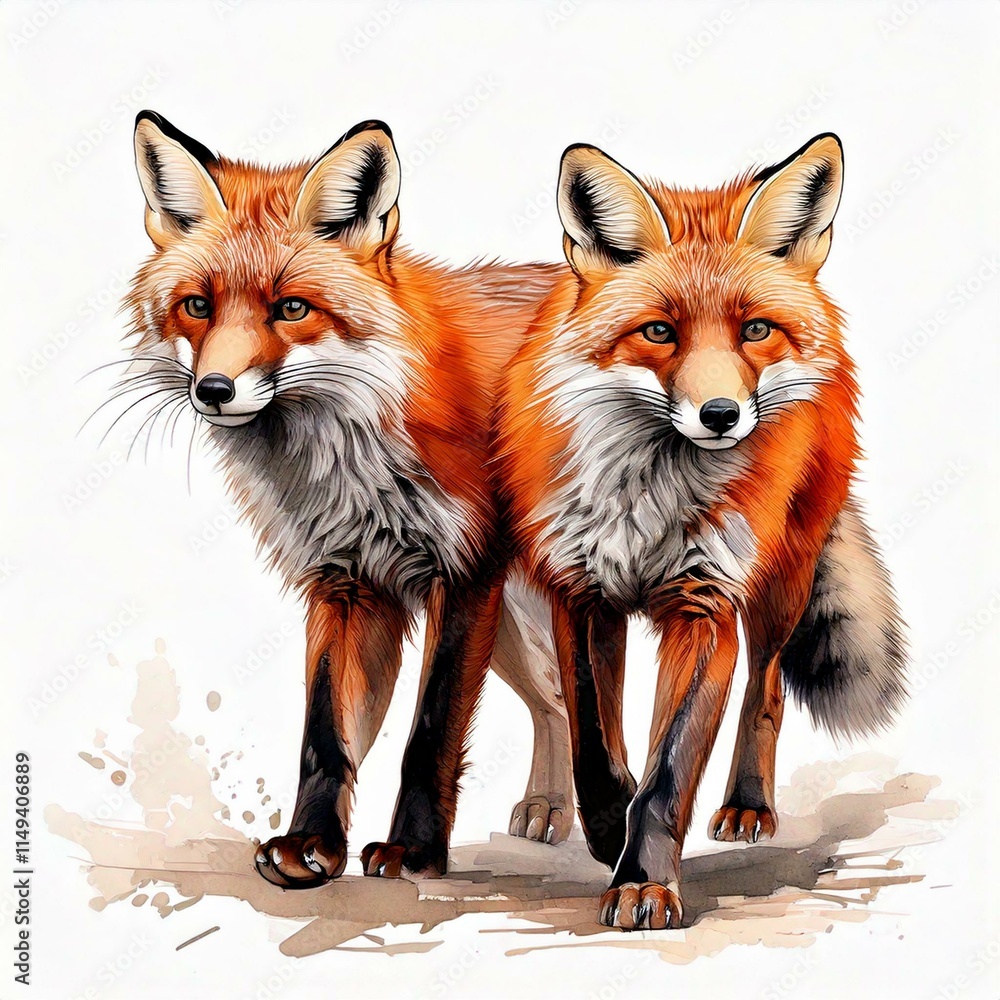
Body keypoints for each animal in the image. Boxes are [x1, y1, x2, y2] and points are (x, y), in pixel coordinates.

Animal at [121, 111, 573, 888]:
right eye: (197, 307)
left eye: (291, 308)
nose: (214, 390)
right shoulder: (349, 582)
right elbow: (326, 735)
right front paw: (311, 846)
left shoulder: (463, 573)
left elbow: (429, 735)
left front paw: (415, 852)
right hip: (515, 622)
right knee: (556, 705)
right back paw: (555, 810)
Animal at [494, 134, 907, 930]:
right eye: (659, 331)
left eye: (755, 330)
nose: (721, 415)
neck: (646, 496)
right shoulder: (580, 594)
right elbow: (594, 738)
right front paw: (607, 827)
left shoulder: (704, 606)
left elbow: (671, 769)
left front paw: (644, 882)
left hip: (782, 584)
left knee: (766, 690)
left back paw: (748, 803)